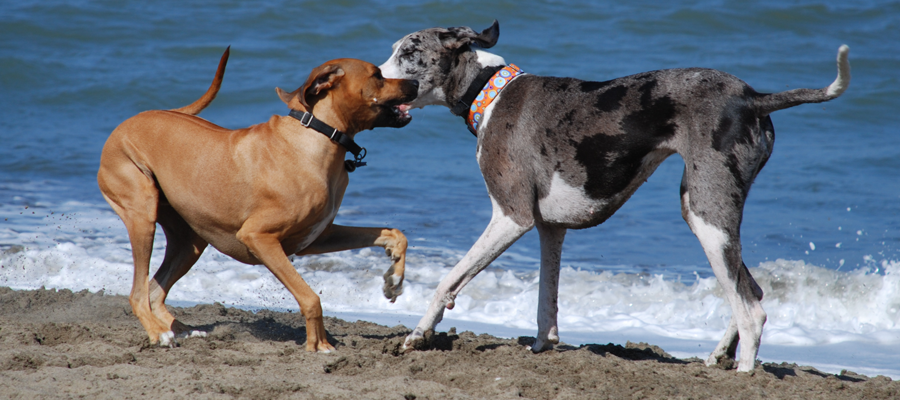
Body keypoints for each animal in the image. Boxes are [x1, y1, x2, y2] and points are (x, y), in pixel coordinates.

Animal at [96, 48, 420, 352]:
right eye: (377, 74)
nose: (416, 82)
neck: (318, 136)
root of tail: (133, 119)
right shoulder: (259, 237)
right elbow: (310, 297)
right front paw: (319, 344)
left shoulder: (319, 237)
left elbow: (395, 233)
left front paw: (394, 280)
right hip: (142, 215)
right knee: (138, 292)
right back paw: (159, 333)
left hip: (189, 242)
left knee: (155, 290)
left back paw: (182, 329)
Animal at [382, 21, 852, 372]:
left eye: (408, 52)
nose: (374, 76)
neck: (489, 90)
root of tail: (753, 98)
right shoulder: (550, 229)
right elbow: (546, 302)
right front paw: (543, 345)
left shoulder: (511, 217)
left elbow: (448, 279)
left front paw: (418, 334)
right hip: (706, 215)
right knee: (750, 291)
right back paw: (718, 354)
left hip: (708, 217)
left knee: (751, 310)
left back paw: (744, 371)